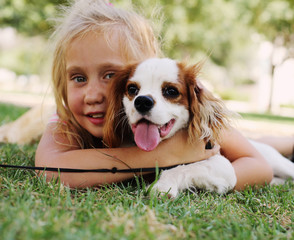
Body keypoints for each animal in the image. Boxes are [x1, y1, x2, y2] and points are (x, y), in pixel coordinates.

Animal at [104, 57, 294, 197]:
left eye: (171, 91)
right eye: (132, 89)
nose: (142, 101)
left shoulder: (222, 165)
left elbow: (181, 168)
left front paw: (162, 185)